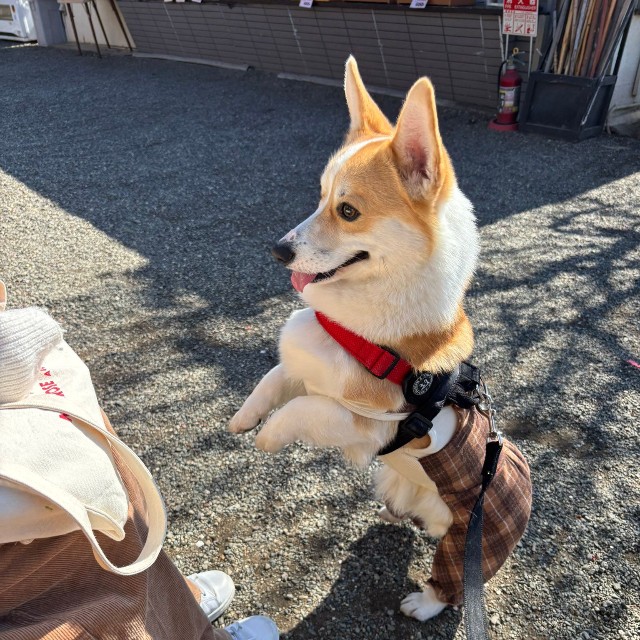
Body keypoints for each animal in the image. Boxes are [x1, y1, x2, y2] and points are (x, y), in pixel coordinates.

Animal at [230, 56, 531, 623]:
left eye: (348, 211)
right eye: (320, 197)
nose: (278, 250)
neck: (360, 332)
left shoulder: (365, 426)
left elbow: (301, 410)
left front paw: (267, 438)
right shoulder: (301, 367)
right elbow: (272, 380)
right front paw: (243, 419)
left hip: (468, 544)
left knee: (449, 584)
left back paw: (421, 603)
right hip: (398, 487)